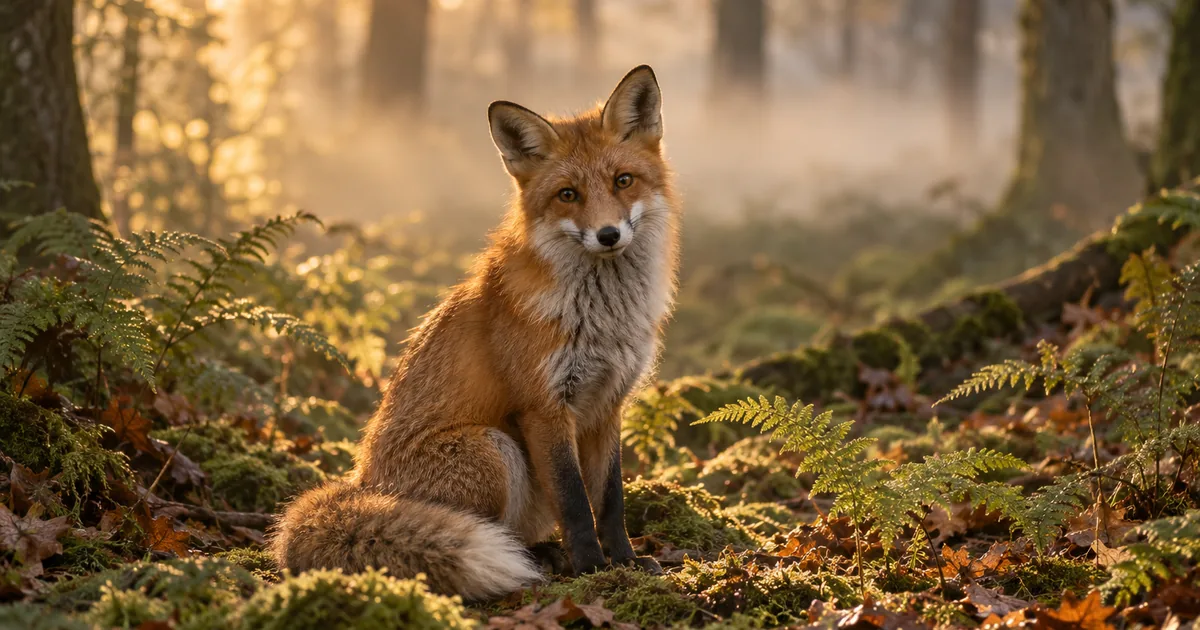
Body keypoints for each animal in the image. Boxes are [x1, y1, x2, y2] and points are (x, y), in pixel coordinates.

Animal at [270, 65, 680, 600]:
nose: (608, 234)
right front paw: (593, 569)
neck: (603, 316)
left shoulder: (608, 404)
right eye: (568, 194)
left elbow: (610, 500)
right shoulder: (544, 407)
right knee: (482, 529)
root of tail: (363, 482)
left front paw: (626, 562)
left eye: (623, 181)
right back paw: (531, 560)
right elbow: (575, 502)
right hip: (493, 449)